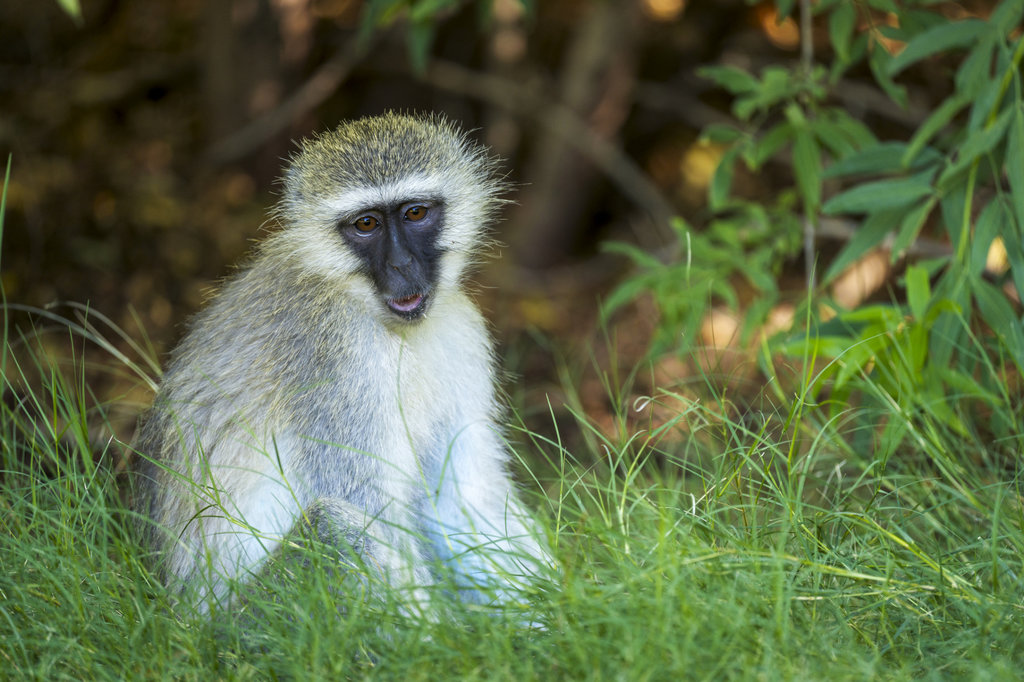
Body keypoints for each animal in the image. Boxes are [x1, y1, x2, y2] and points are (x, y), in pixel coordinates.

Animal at [133, 112, 552, 616]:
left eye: (415, 213)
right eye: (365, 224)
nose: (401, 266)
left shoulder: (461, 331)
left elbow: (463, 500)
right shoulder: (332, 358)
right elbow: (372, 509)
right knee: (335, 525)